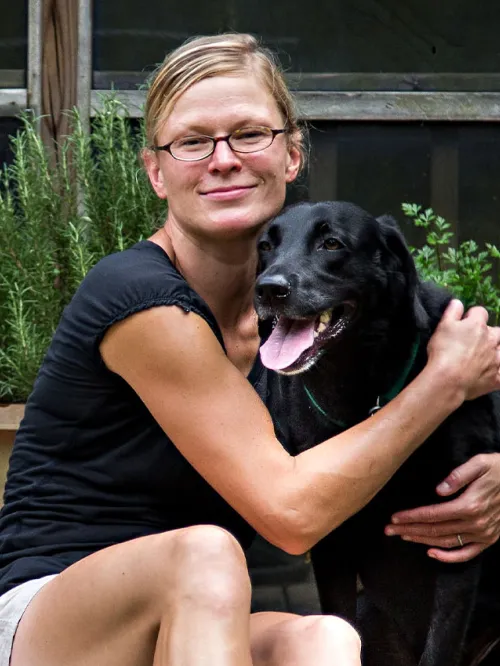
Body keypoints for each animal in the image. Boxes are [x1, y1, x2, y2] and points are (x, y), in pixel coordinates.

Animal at [256, 201, 498, 664]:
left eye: (332, 243)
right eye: (265, 245)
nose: (268, 289)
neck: (362, 396)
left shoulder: (460, 532)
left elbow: (440, 645)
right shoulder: (330, 539)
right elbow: (338, 621)